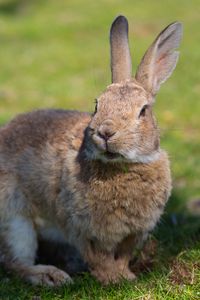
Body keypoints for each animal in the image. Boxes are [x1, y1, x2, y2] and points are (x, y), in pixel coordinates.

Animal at [0, 15, 182, 286]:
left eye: (143, 111)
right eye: (97, 105)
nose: (106, 132)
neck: (121, 167)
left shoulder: (134, 233)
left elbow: (122, 255)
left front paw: (126, 276)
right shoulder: (81, 228)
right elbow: (99, 257)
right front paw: (111, 279)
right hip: (14, 219)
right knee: (14, 261)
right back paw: (50, 276)